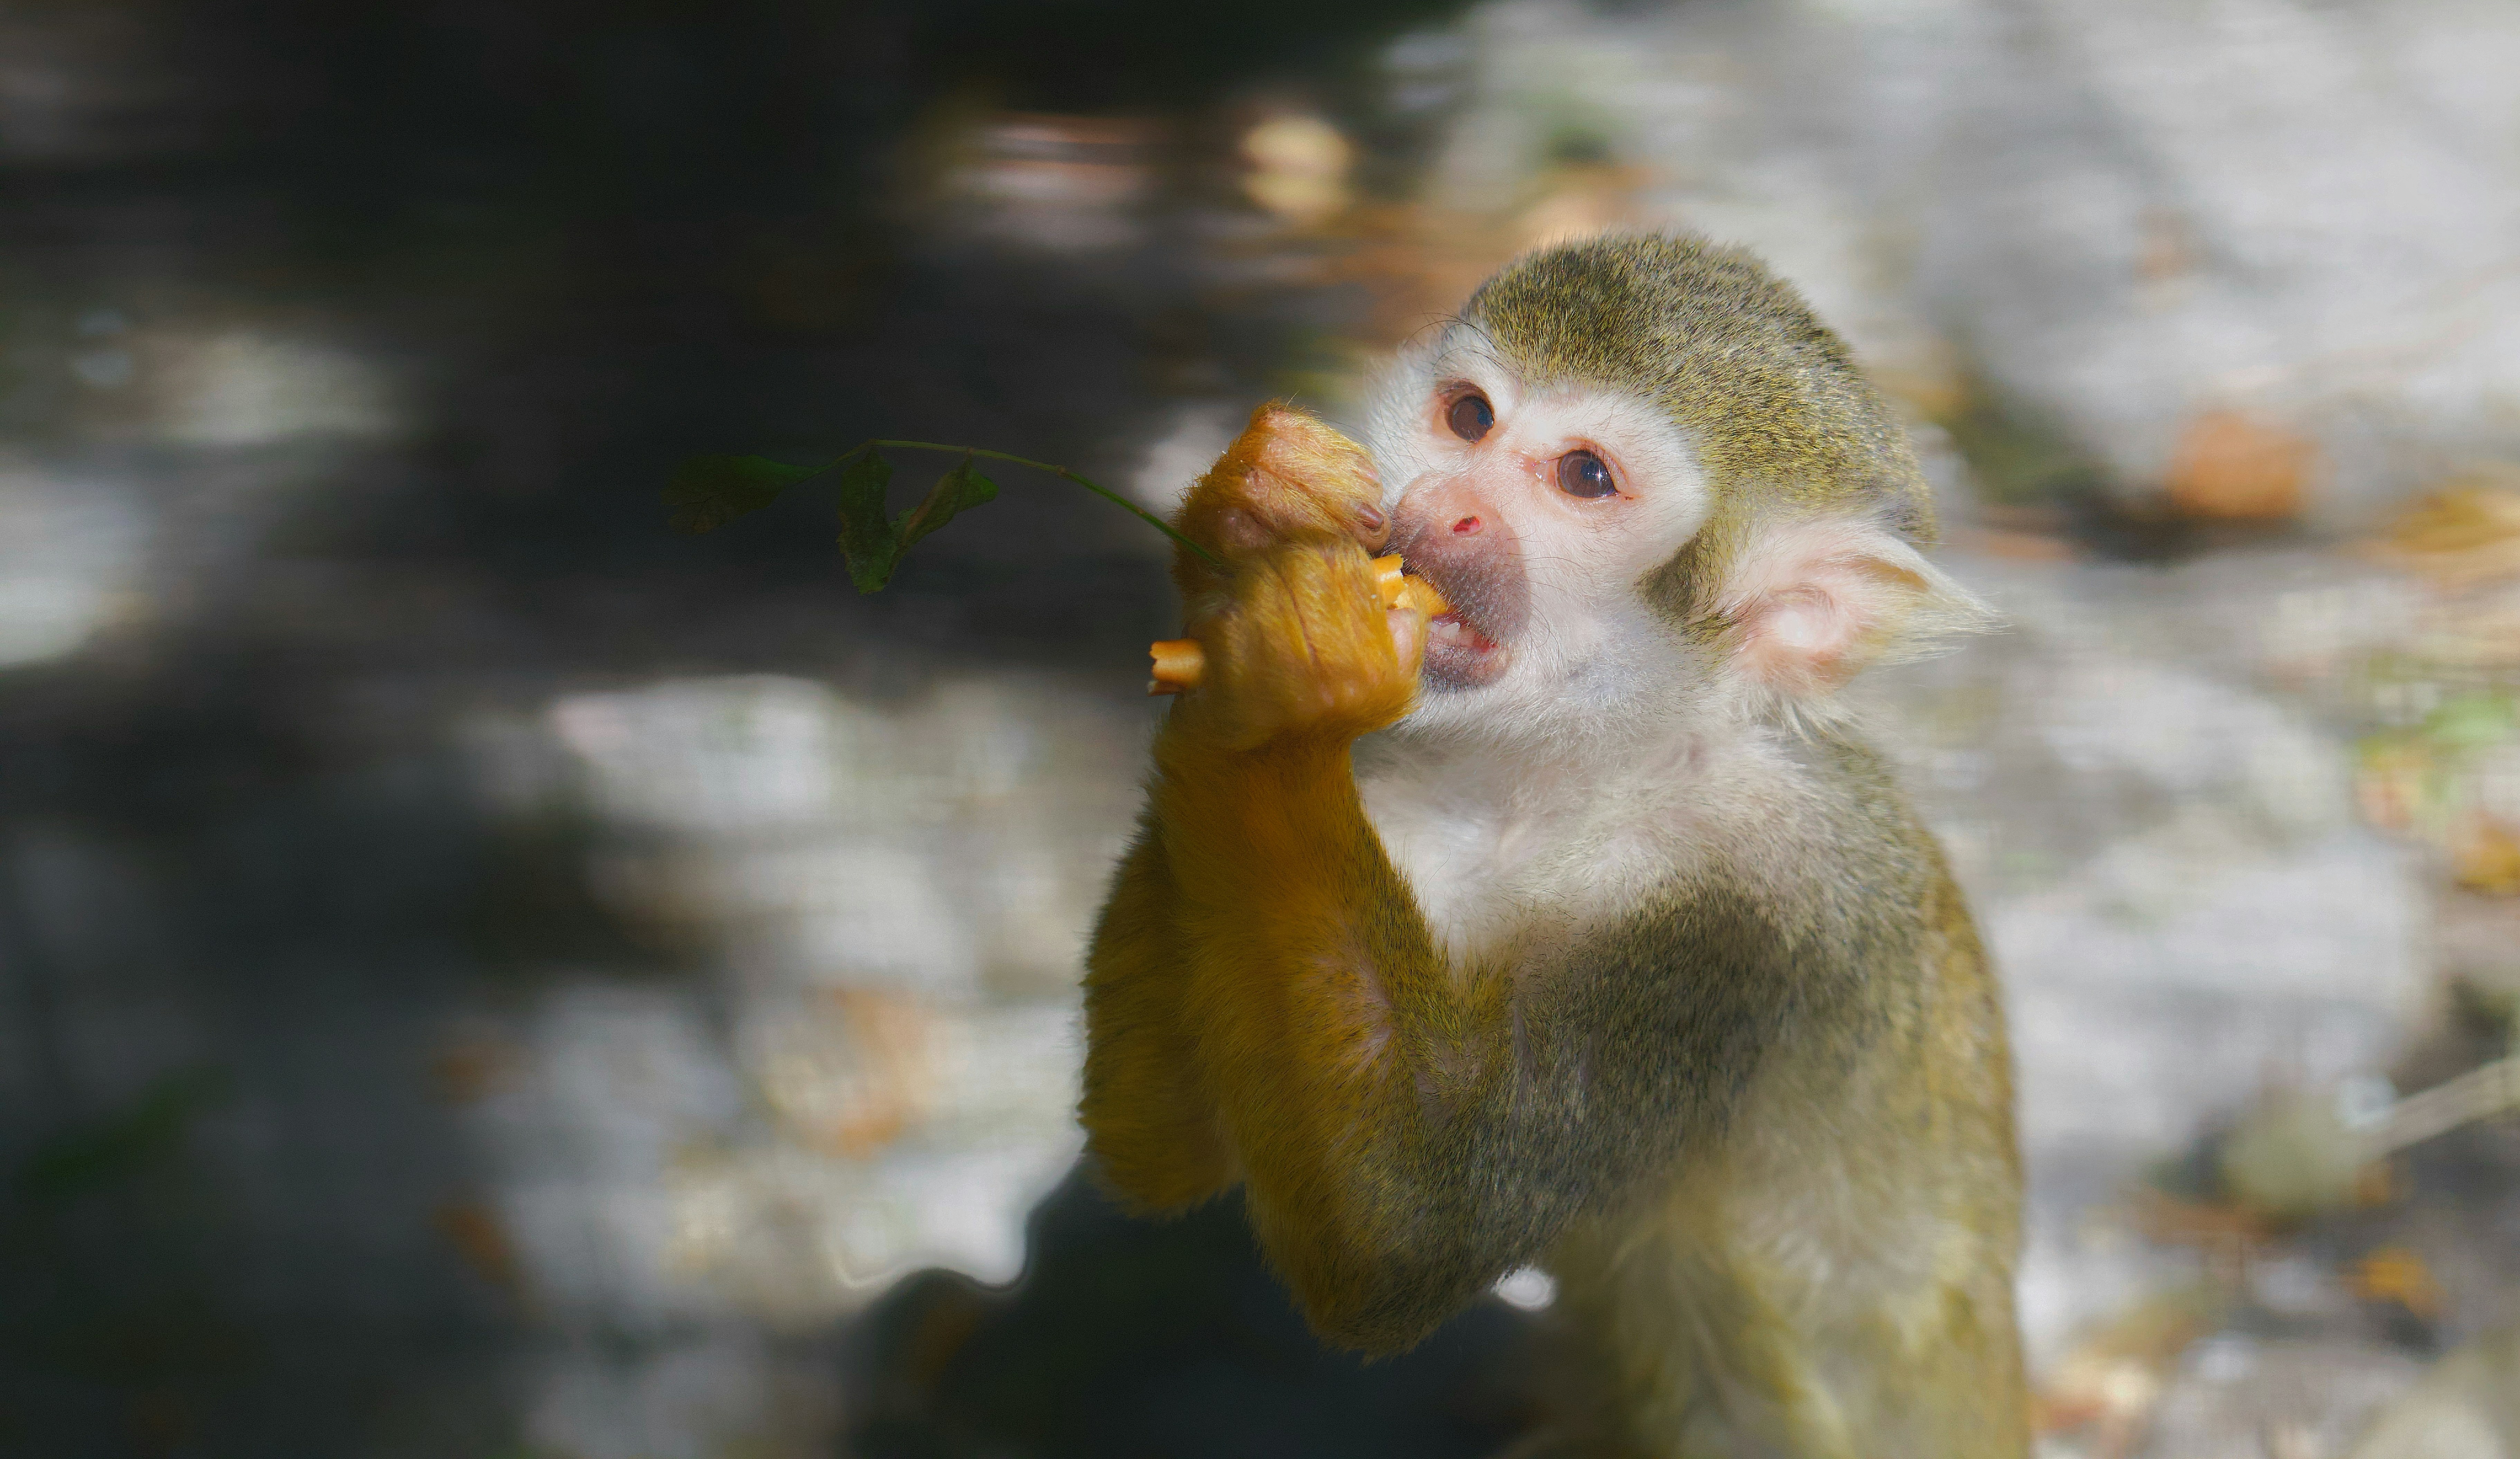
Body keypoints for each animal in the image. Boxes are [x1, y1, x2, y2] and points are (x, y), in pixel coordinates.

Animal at [1079, 233, 2024, 1458]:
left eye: (1583, 478)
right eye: (1470, 417)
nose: (1447, 506)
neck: (1575, 780)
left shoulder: (1746, 920)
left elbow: (1409, 1230)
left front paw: (1287, 685)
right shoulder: (1410, 798)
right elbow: (1161, 1147)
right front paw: (1244, 524)